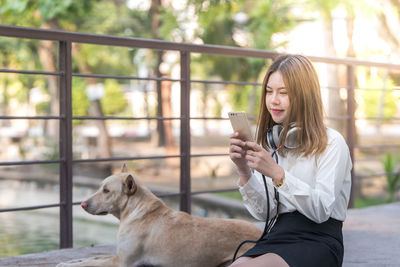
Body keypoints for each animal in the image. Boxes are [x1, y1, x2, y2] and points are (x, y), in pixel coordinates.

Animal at [57, 165, 262, 267]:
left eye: (106, 191)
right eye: (100, 187)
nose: (82, 204)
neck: (135, 210)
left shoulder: (121, 262)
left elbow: (91, 262)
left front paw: (68, 265)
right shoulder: (117, 256)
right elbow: (92, 258)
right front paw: (72, 260)